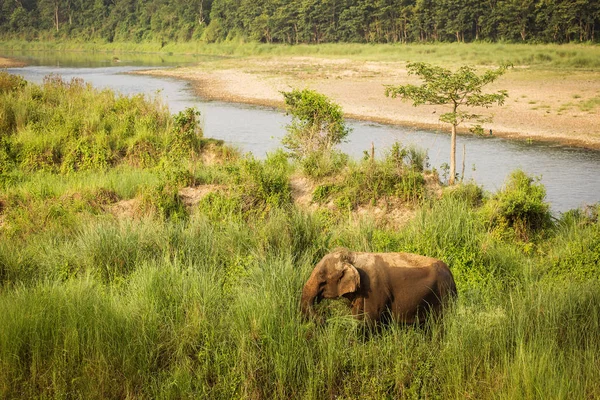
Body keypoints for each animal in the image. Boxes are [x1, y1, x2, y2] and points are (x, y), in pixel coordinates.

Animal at [302, 250, 458, 324]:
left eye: (322, 278)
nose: (324, 319)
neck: (352, 256)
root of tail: (451, 273)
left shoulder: (374, 290)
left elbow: (369, 321)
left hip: (445, 294)